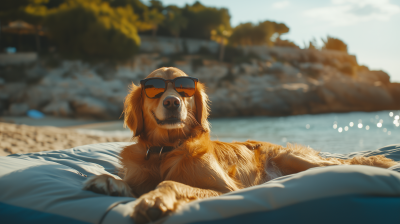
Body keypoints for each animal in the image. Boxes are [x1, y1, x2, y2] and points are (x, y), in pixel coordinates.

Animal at [83, 67, 396, 223]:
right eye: (154, 89)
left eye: (184, 89)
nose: (172, 102)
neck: (166, 149)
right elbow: (130, 181)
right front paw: (109, 181)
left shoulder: (226, 190)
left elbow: (170, 182)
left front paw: (154, 199)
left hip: (295, 159)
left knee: (343, 163)